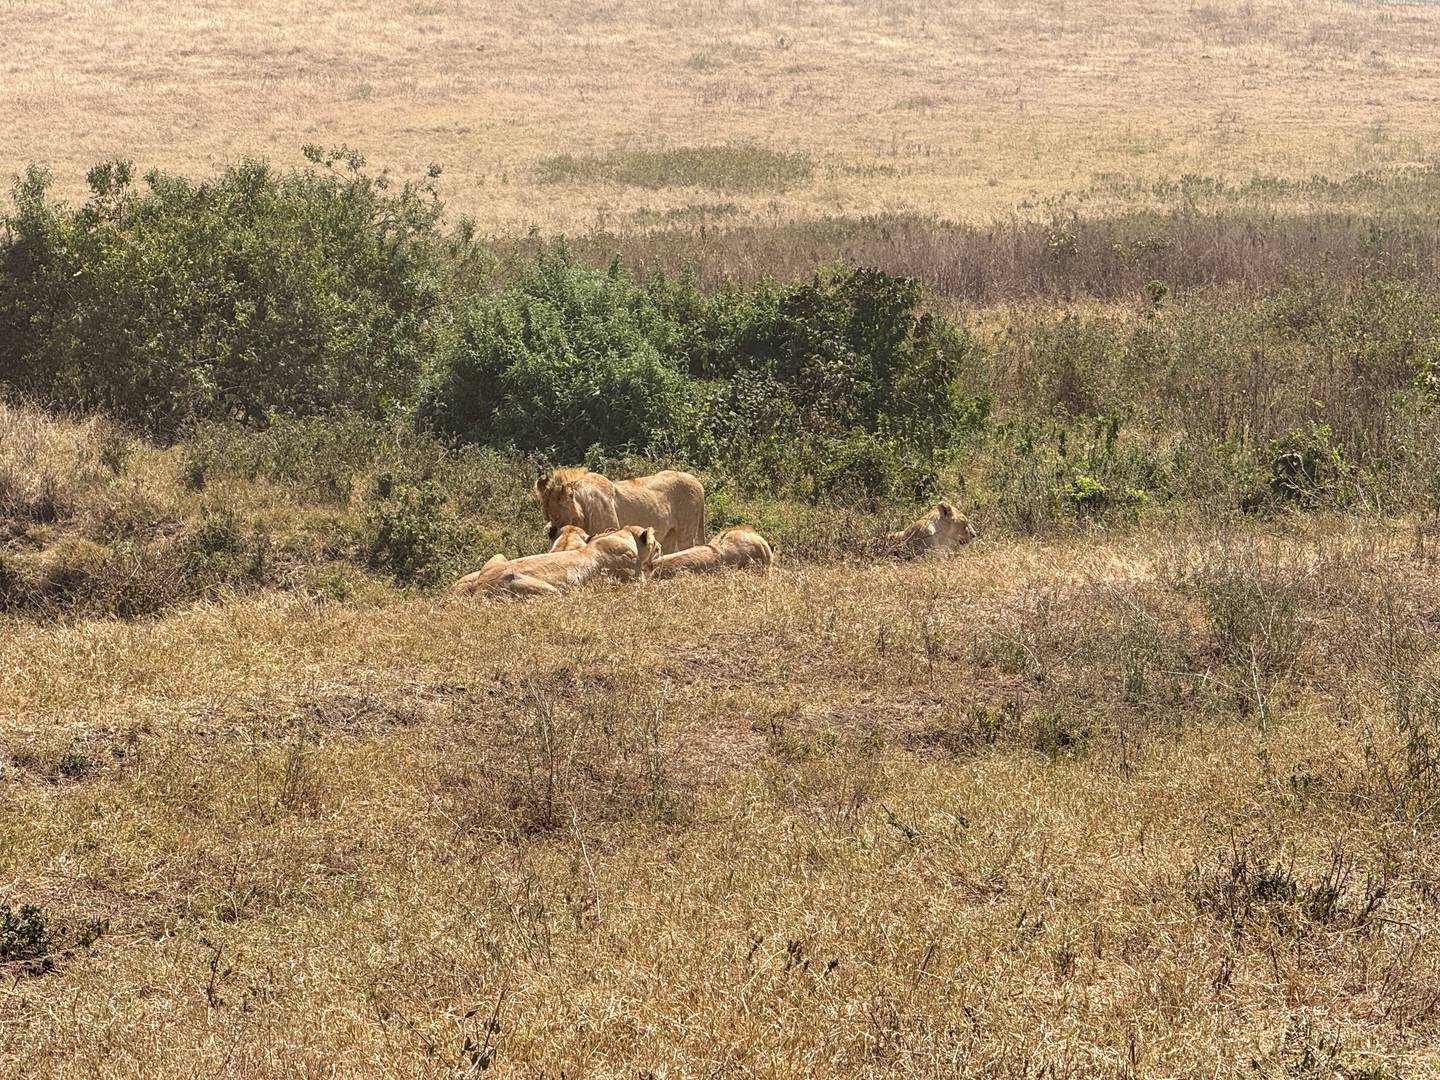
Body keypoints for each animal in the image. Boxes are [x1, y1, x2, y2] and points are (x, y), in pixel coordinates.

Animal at [453, 526, 658, 598]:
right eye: (656, 546)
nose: (661, 546)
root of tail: (481, 586)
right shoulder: (632, 580)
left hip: (497, 557)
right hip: (551, 591)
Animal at [536, 467, 705, 553]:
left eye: (558, 516)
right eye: (548, 516)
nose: (551, 532)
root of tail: (698, 482)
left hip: (686, 533)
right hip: (669, 535)